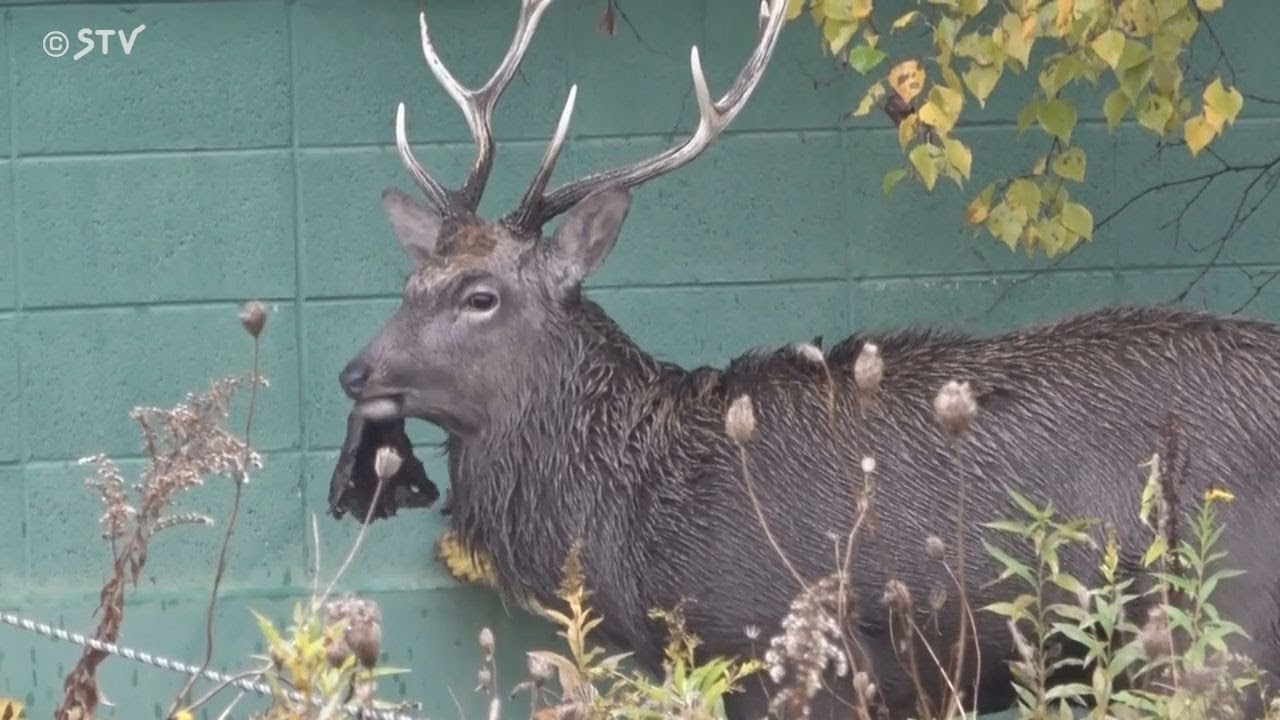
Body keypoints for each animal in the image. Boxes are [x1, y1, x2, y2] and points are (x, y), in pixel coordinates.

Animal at [326, 0, 1280, 718]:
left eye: (480, 294)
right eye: (412, 278)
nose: (354, 372)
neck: (637, 526)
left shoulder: (793, 651)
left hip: (1225, 627)